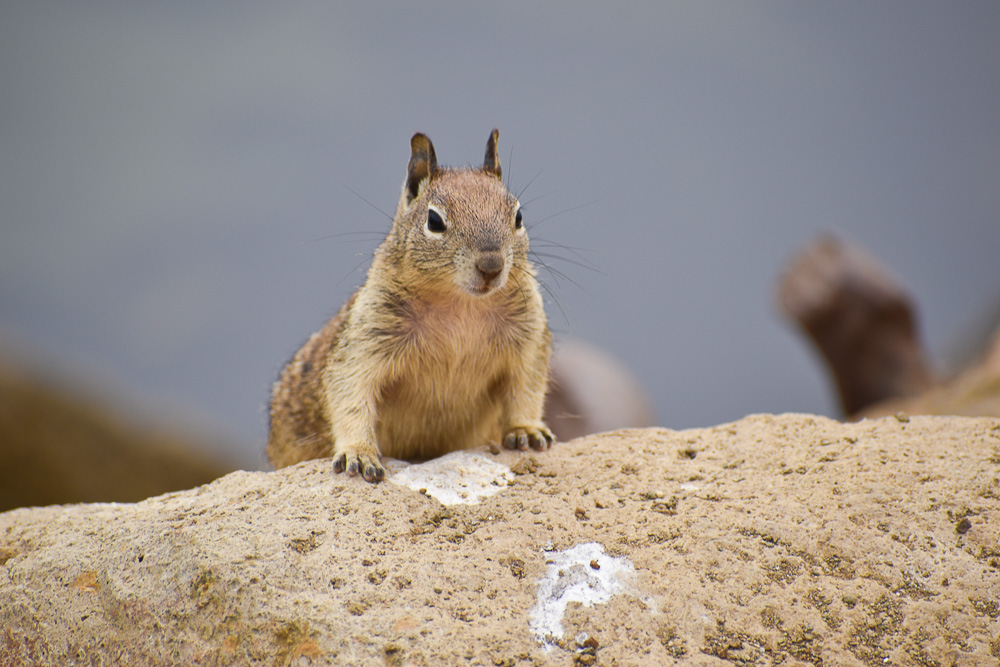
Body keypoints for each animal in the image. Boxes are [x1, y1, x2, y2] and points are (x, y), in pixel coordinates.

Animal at [267, 129, 555, 483]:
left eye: (518, 216)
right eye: (434, 221)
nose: (491, 265)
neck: (461, 306)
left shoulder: (529, 337)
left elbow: (527, 386)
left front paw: (526, 429)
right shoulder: (368, 336)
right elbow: (350, 390)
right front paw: (358, 452)